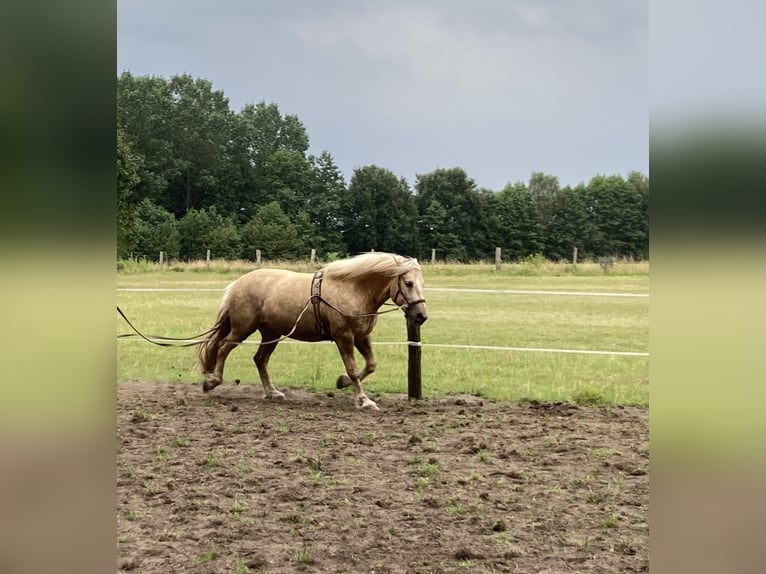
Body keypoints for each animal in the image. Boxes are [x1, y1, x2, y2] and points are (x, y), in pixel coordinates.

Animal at [196, 252, 426, 410]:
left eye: (422, 283)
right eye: (408, 283)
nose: (421, 316)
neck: (354, 289)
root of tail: (237, 284)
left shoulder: (361, 337)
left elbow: (370, 365)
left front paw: (342, 382)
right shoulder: (344, 337)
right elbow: (353, 368)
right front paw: (363, 400)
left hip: (271, 333)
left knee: (259, 359)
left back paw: (272, 392)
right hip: (242, 329)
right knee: (223, 348)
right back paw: (212, 382)